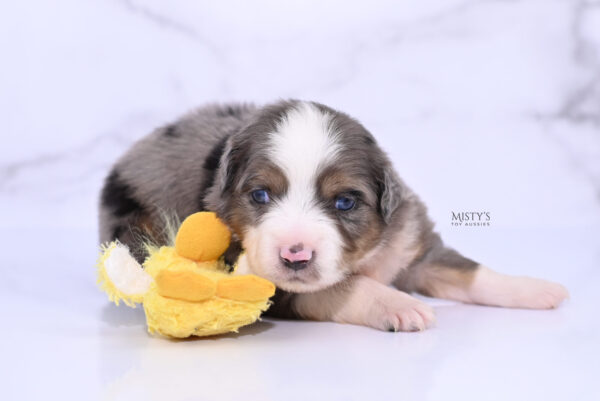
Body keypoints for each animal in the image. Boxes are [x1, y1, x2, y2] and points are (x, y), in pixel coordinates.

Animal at [98, 100, 568, 332]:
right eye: (260, 195)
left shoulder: (412, 243)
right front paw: (400, 305)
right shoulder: (269, 285)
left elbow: (468, 271)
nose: (295, 255)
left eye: (345, 202)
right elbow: (344, 287)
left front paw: (536, 289)